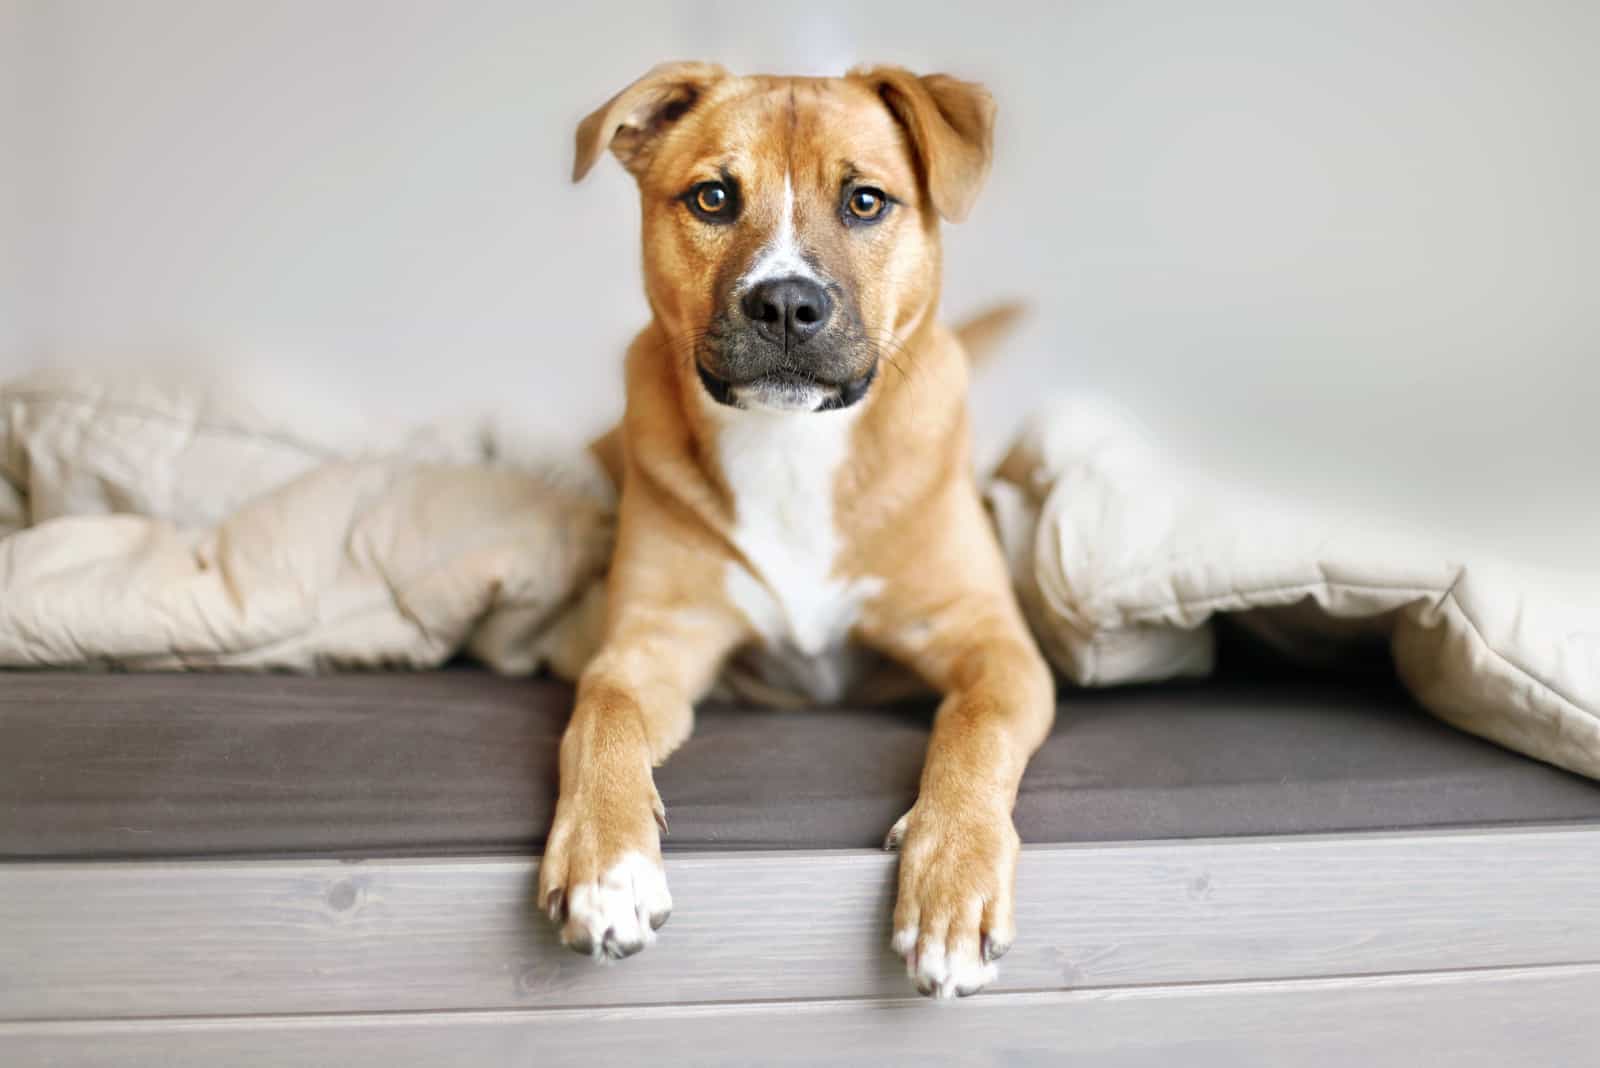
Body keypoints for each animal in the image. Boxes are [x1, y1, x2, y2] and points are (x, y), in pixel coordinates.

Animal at [544, 62, 1056, 997]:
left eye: (865, 201)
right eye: (712, 197)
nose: (785, 303)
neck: (791, 444)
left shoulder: (995, 646)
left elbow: (976, 731)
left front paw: (952, 879)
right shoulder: (651, 643)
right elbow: (600, 714)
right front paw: (607, 865)